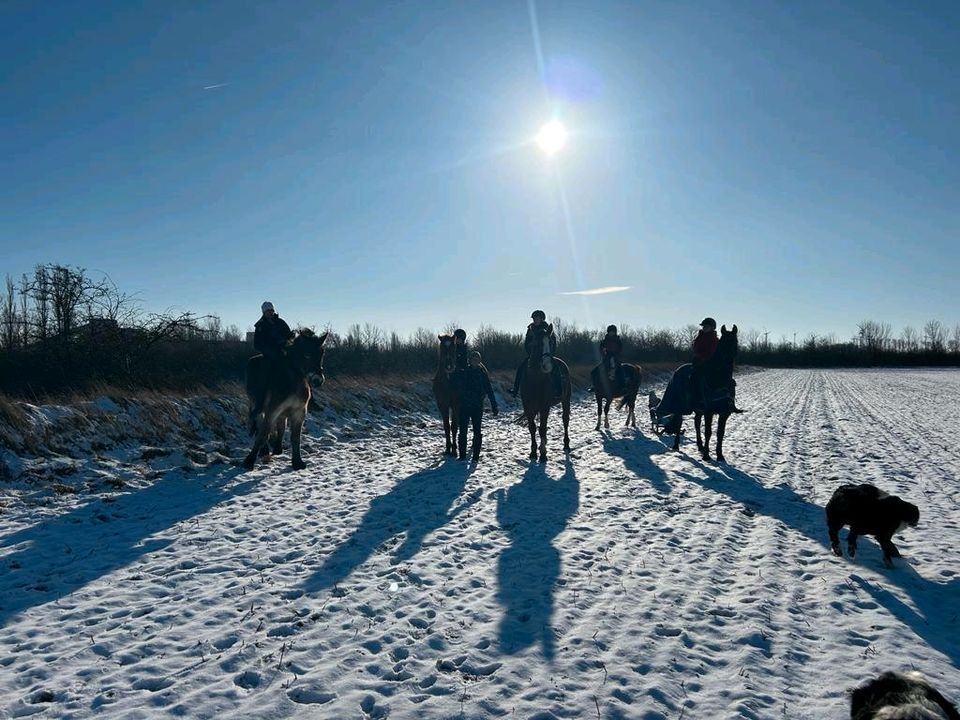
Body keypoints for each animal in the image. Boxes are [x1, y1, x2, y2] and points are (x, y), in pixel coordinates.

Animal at [242, 328, 328, 472]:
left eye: (321, 355)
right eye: (307, 355)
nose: (318, 380)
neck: (293, 381)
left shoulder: (299, 412)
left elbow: (295, 437)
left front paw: (297, 462)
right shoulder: (272, 411)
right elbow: (263, 434)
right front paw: (249, 461)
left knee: (280, 425)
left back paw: (278, 449)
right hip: (257, 405)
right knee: (261, 425)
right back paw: (264, 451)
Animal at [516, 324, 568, 464]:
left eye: (551, 343)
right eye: (538, 344)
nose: (548, 366)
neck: (535, 379)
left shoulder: (545, 406)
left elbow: (543, 428)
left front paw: (543, 454)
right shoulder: (528, 406)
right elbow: (532, 427)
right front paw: (534, 452)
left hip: (566, 400)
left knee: (565, 419)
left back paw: (566, 444)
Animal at [652, 324, 744, 462]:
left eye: (735, 342)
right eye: (722, 343)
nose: (728, 361)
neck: (718, 381)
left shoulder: (724, 413)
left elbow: (720, 433)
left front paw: (720, 455)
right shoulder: (709, 412)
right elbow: (708, 432)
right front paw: (706, 455)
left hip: (698, 410)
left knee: (696, 423)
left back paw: (700, 446)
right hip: (681, 407)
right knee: (679, 423)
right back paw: (676, 445)